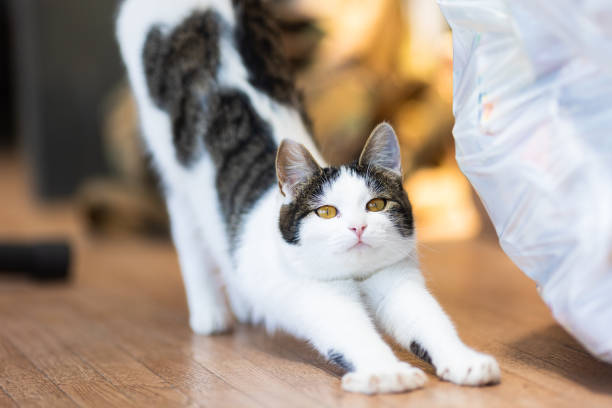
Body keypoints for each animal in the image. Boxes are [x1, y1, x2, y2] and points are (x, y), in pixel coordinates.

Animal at [117, 0, 500, 394]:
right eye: (326, 212)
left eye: (376, 205)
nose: (358, 228)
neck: (355, 277)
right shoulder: (319, 296)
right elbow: (355, 335)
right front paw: (386, 372)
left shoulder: (398, 282)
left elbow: (430, 323)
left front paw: (465, 361)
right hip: (173, 173)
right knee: (191, 237)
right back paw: (210, 313)